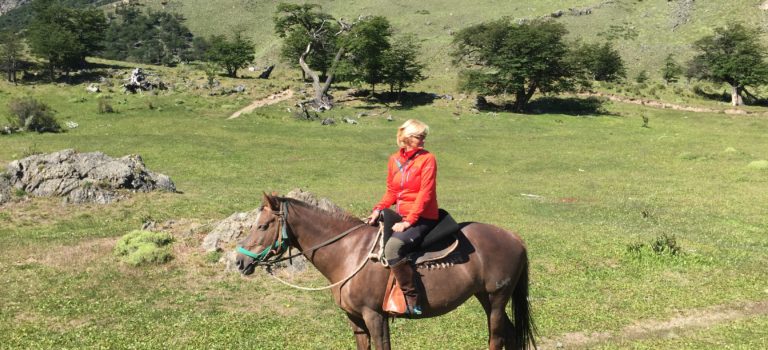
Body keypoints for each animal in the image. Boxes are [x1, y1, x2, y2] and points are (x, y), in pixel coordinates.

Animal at [234, 194, 536, 350]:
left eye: (263, 226)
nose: (239, 260)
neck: (349, 252)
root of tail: (515, 237)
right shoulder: (355, 318)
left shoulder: (375, 316)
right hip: (486, 298)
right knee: (510, 336)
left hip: (496, 299)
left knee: (497, 338)